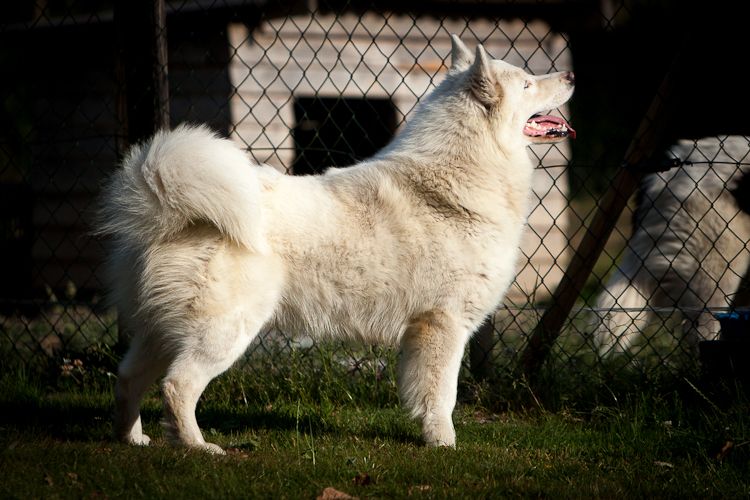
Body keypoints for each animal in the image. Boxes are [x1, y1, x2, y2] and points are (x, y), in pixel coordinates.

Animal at [96, 35, 575, 453]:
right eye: (527, 83)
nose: (571, 74)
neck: (455, 182)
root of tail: (165, 210)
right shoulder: (443, 325)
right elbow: (443, 396)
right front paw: (444, 444)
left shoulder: (423, 332)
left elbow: (423, 394)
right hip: (222, 333)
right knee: (177, 386)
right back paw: (198, 447)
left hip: (160, 332)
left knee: (127, 380)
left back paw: (132, 439)